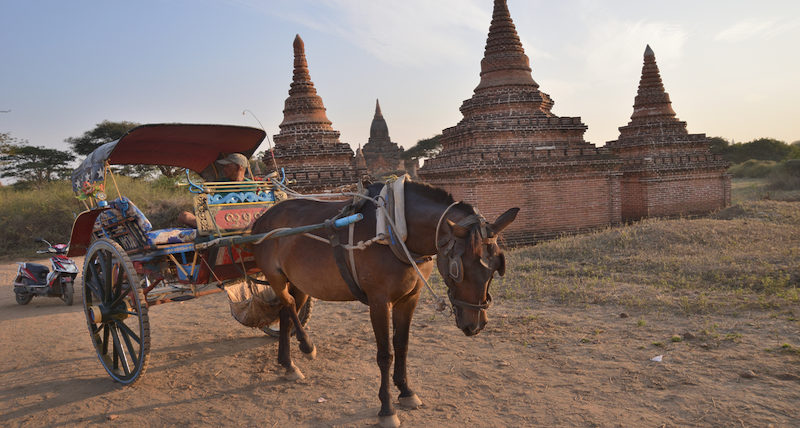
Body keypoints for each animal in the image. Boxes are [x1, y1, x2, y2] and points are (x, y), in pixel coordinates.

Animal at [253, 181, 520, 428]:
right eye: (458, 269)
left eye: (495, 268)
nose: (475, 325)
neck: (395, 232)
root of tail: (264, 216)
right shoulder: (379, 302)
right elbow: (385, 354)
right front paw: (387, 409)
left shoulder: (410, 299)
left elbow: (402, 345)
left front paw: (406, 391)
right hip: (275, 276)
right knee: (288, 305)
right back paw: (306, 345)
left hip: (299, 282)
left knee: (286, 312)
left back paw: (288, 364)